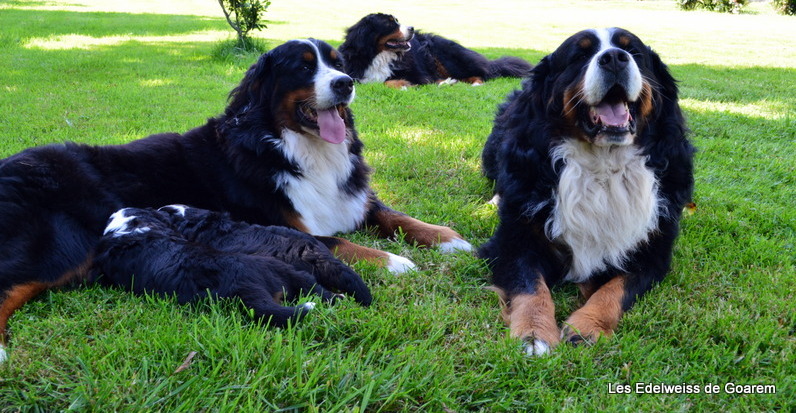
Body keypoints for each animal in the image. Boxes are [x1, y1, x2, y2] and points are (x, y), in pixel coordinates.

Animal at [338, 12, 532, 87]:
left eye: (397, 20)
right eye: (390, 23)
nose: (412, 28)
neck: (379, 55)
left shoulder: (418, 75)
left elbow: (388, 81)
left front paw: (402, 85)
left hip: (449, 57)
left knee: (481, 74)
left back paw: (474, 83)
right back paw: (448, 82)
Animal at [478, 27, 696, 356]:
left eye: (634, 52)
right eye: (580, 55)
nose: (615, 58)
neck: (603, 166)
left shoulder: (653, 251)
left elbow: (616, 289)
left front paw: (587, 326)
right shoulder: (515, 241)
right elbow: (530, 287)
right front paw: (533, 333)